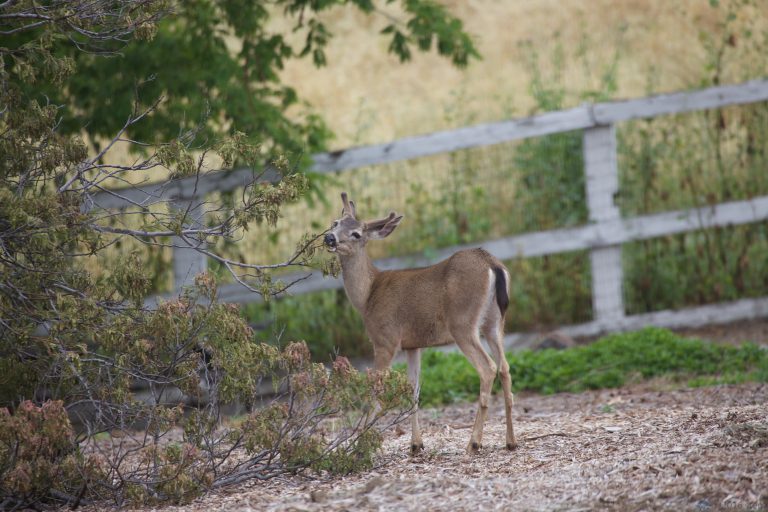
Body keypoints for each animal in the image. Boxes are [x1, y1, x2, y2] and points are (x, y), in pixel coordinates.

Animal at [323, 192, 517, 454]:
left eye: (356, 234)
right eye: (335, 222)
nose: (329, 238)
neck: (367, 296)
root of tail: (492, 264)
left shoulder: (385, 339)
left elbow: (376, 389)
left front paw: (361, 445)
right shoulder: (412, 345)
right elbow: (413, 390)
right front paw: (416, 444)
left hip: (463, 323)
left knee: (487, 368)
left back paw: (474, 443)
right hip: (494, 322)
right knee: (505, 367)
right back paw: (511, 441)